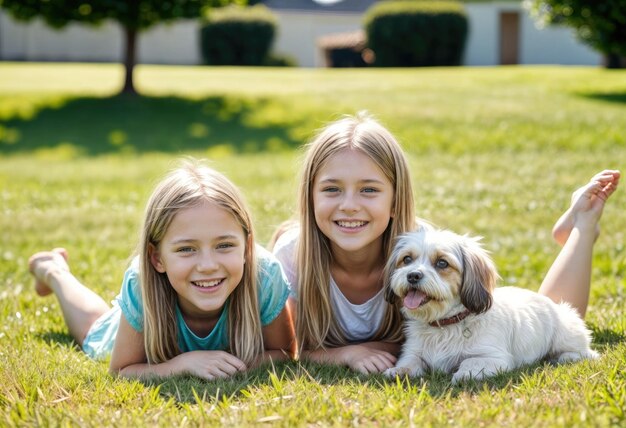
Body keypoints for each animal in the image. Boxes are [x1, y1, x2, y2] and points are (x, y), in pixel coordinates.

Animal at [382, 227, 596, 384]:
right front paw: (398, 370)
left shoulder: (494, 358)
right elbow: (410, 362)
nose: (413, 275)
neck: (444, 325)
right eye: (407, 259)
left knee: (586, 353)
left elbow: (469, 361)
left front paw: (462, 374)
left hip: (566, 334)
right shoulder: (413, 352)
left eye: (442, 263)